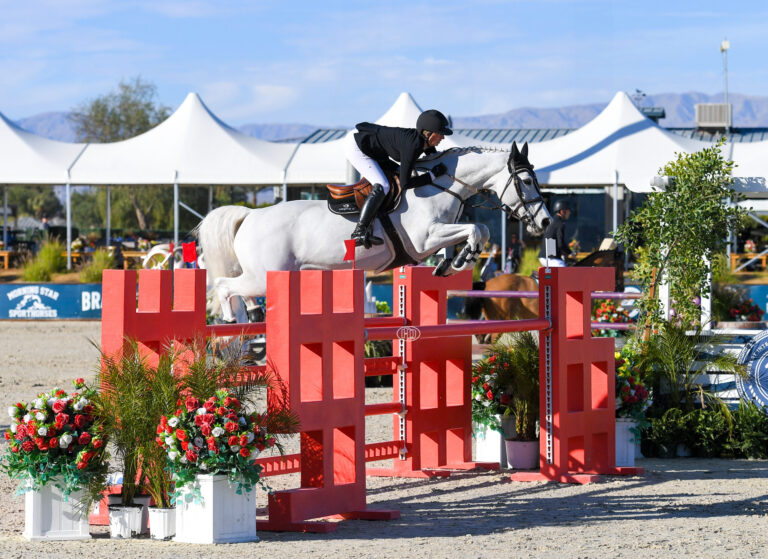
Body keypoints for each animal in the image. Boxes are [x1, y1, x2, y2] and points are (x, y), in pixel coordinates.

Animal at [195, 141, 548, 324]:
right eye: (526, 180)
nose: (544, 223)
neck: (437, 183)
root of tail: (250, 216)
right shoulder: (425, 238)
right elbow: (477, 228)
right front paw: (463, 259)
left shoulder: (437, 236)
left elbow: (480, 228)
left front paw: (452, 264)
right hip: (264, 274)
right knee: (224, 286)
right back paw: (230, 320)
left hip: (274, 274)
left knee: (239, 289)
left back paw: (251, 316)